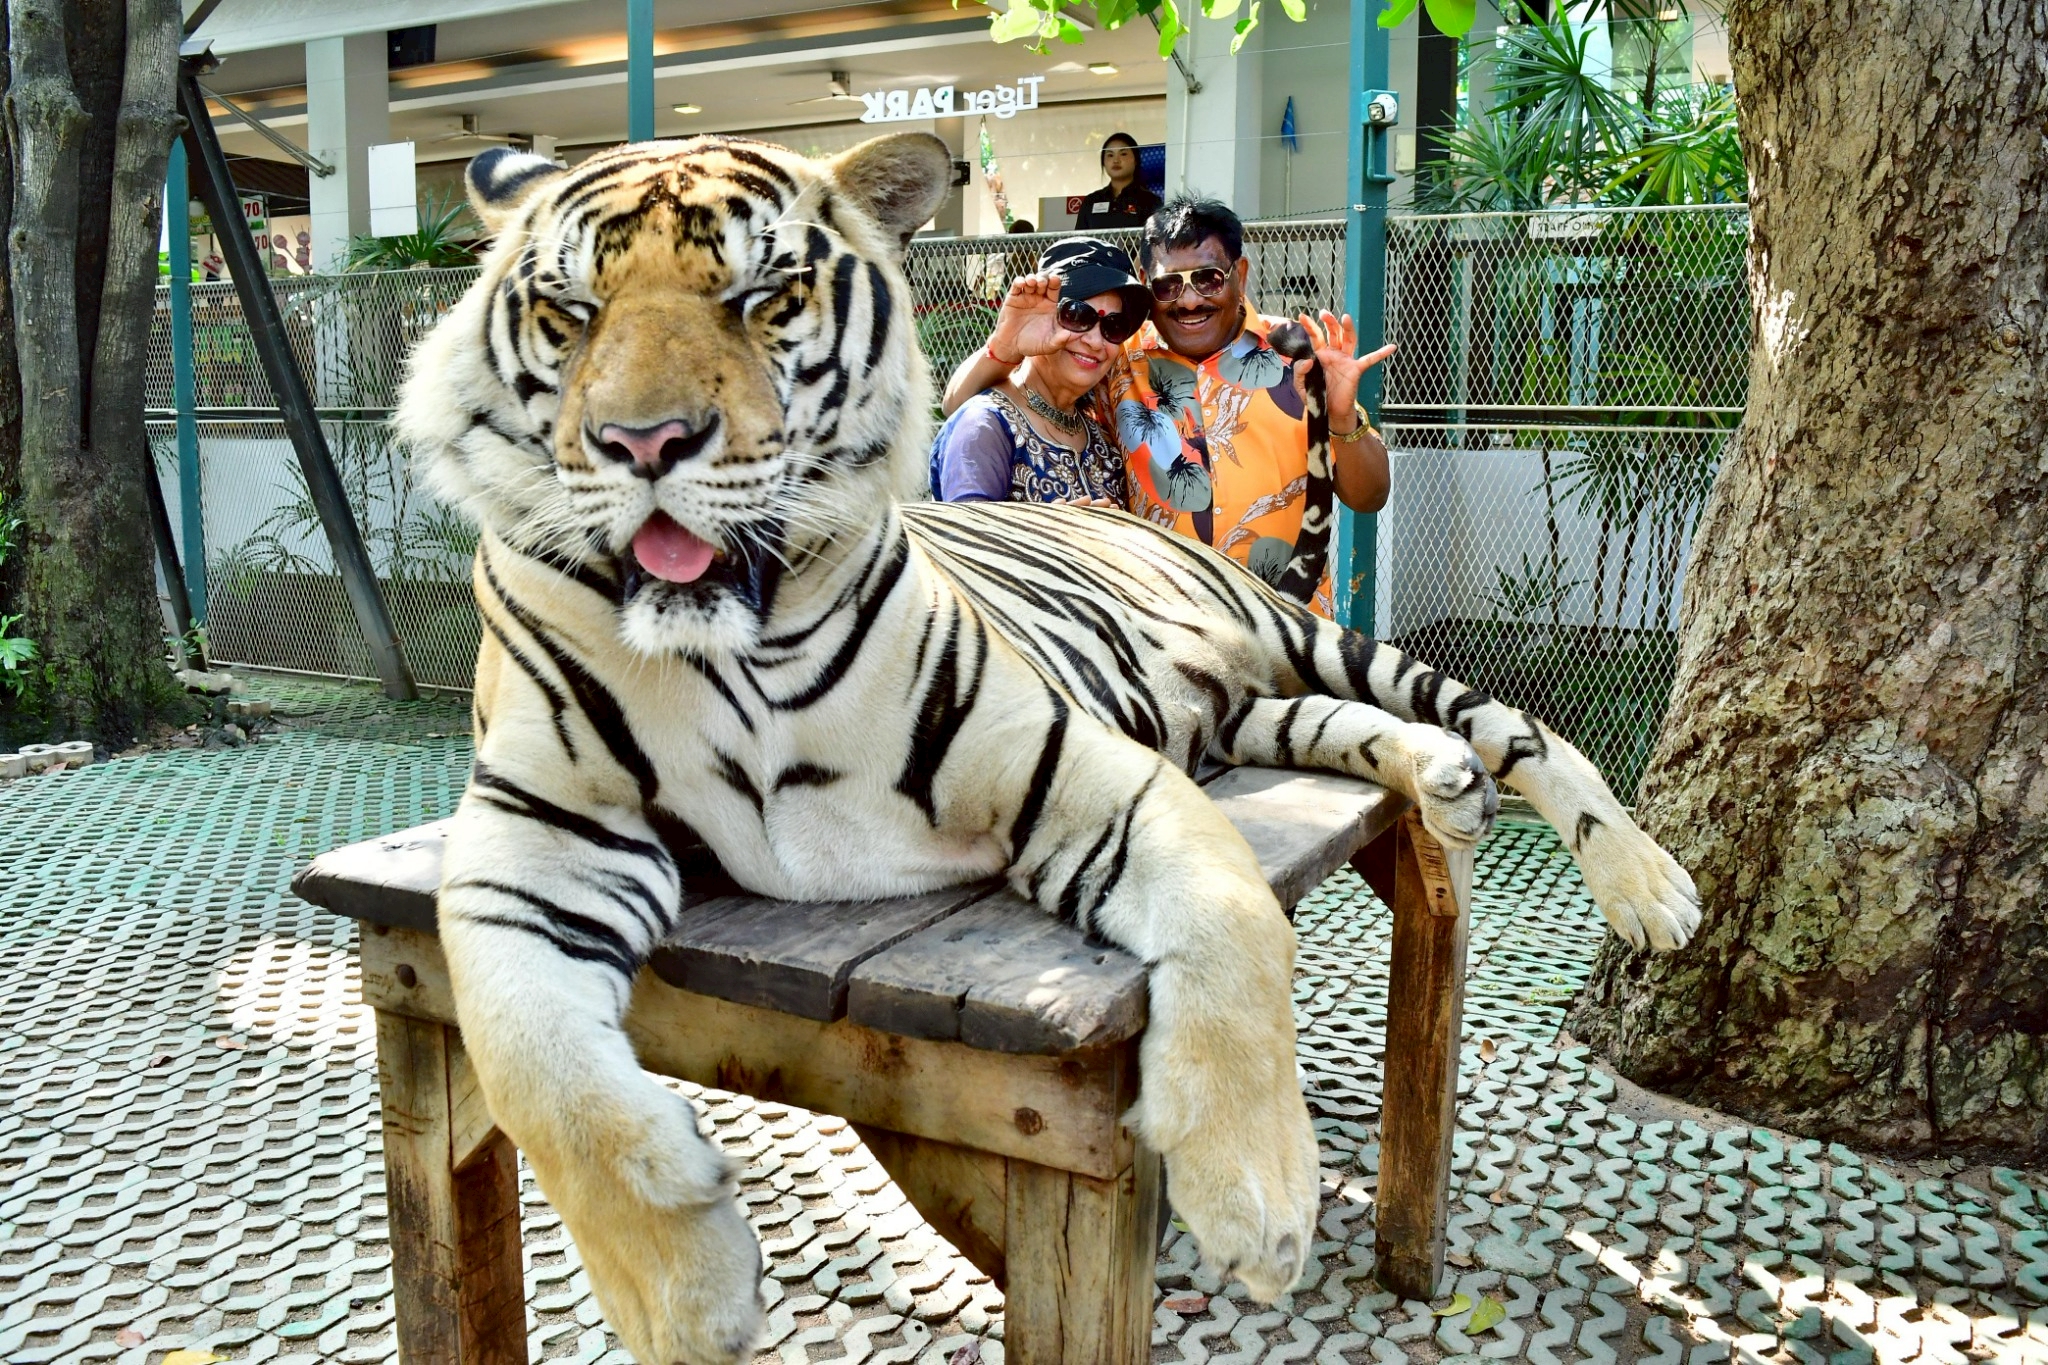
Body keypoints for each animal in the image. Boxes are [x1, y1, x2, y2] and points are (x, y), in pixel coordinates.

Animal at [393, 131, 1700, 1364]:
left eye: (762, 298)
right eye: (570, 312)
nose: (644, 442)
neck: (730, 649)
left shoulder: (1068, 763)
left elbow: (1232, 925)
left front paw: (1258, 1204)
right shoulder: (535, 842)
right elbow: (532, 1065)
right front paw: (680, 1297)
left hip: (1311, 647)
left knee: (1517, 729)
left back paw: (1650, 892)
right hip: (1252, 712)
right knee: (1376, 732)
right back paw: (1445, 783)